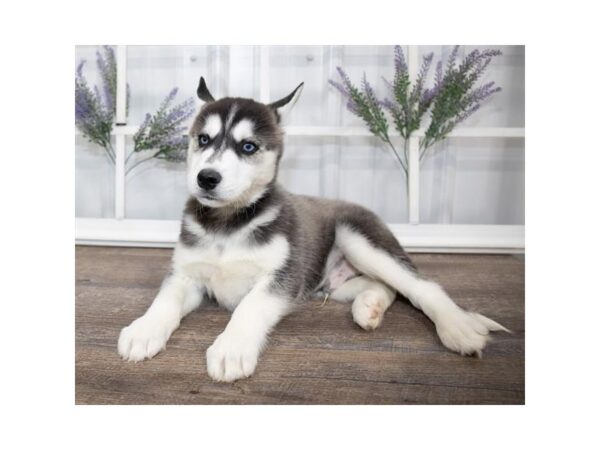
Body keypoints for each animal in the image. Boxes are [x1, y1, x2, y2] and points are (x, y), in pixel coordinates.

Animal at [116, 79, 506, 382]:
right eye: (203, 139)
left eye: (248, 146)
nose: (206, 178)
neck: (228, 222)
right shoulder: (185, 274)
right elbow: (164, 300)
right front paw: (144, 329)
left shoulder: (282, 278)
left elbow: (249, 307)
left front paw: (231, 348)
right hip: (330, 283)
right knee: (386, 287)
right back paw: (369, 307)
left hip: (358, 237)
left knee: (419, 285)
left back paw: (458, 326)